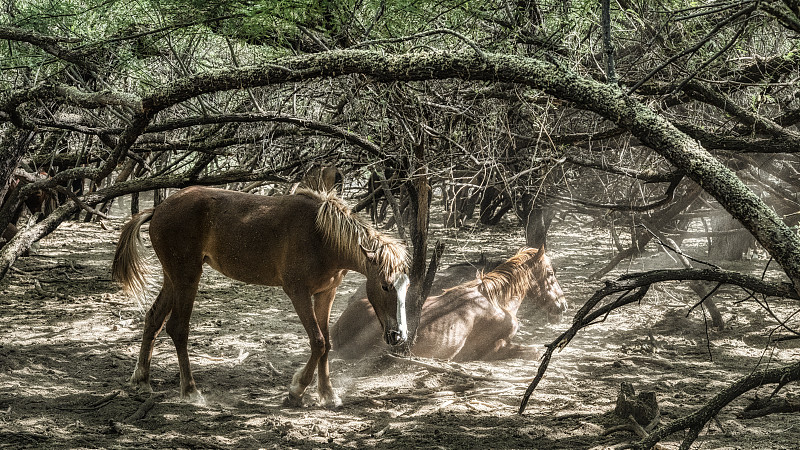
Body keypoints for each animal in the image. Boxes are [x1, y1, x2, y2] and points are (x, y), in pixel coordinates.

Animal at [113, 186, 410, 408]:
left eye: (406, 286)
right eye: (385, 286)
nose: (399, 335)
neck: (321, 237)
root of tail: (158, 208)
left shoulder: (326, 293)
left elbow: (327, 344)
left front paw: (327, 394)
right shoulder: (298, 293)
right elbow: (318, 342)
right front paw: (296, 390)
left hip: (173, 278)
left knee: (153, 319)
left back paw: (141, 379)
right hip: (187, 277)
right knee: (177, 328)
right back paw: (190, 391)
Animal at [328, 246, 564, 362]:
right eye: (550, 273)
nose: (562, 305)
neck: (494, 299)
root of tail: (337, 329)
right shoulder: (494, 350)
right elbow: (535, 351)